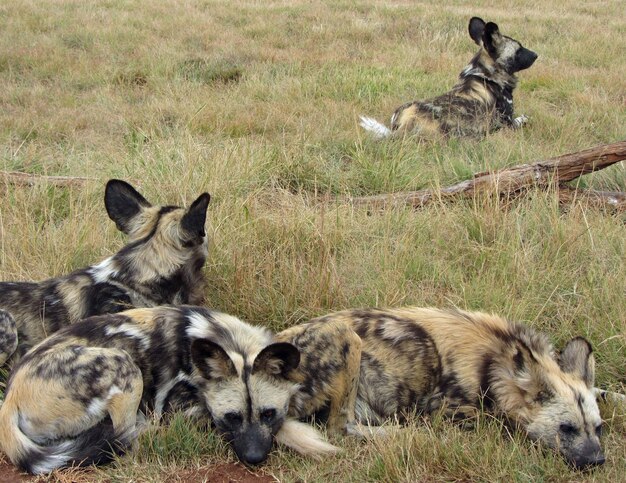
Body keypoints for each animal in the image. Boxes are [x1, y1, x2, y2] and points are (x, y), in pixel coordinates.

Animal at [0, 308, 336, 474]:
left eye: (268, 414)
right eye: (232, 418)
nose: (253, 458)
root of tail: (10, 400)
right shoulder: (181, 411)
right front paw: (310, 440)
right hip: (123, 367)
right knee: (126, 439)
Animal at [280, 308, 620, 470]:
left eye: (598, 429)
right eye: (566, 429)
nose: (597, 461)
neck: (496, 365)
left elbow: (606, 393)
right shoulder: (450, 411)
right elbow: (491, 421)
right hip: (346, 337)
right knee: (341, 428)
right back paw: (408, 434)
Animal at [360, 17, 536, 138]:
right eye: (519, 49)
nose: (536, 54)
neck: (487, 75)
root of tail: (407, 120)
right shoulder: (506, 124)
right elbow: (524, 118)